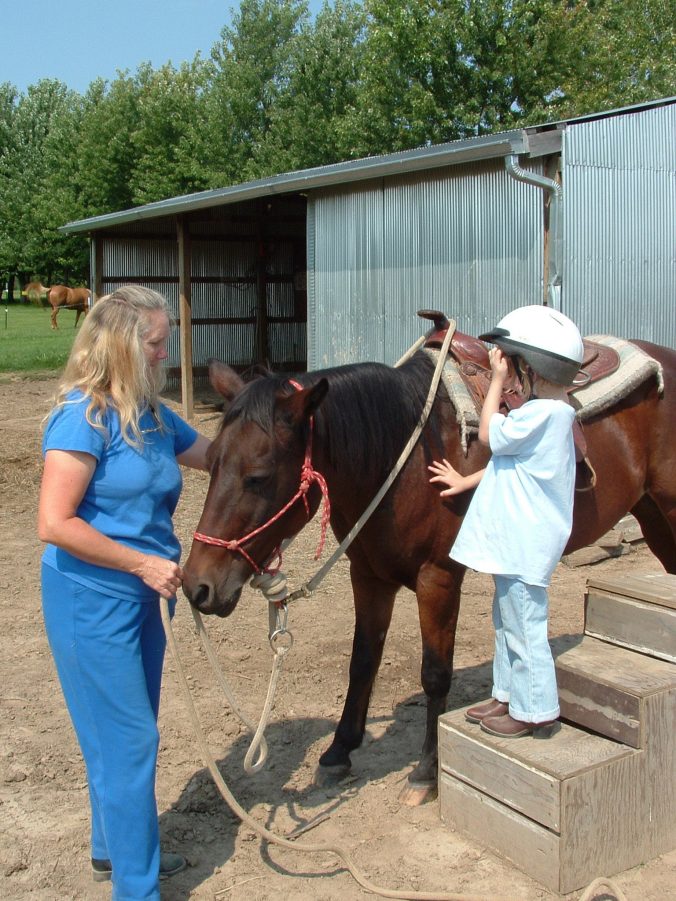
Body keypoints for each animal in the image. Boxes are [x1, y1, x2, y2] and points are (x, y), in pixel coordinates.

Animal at [181, 334, 676, 806]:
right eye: (210, 463)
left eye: (258, 476)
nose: (196, 587)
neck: (405, 461)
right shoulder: (368, 575)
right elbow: (362, 661)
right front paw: (339, 751)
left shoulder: (438, 578)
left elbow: (435, 673)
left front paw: (425, 773)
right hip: (652, 516)